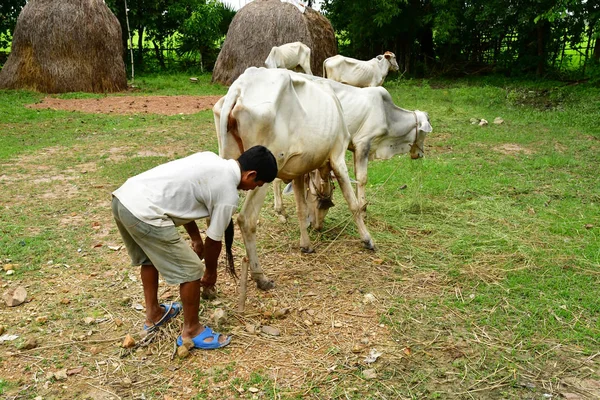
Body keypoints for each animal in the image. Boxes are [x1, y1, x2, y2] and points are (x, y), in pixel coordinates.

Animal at [213, 67, 372, 292]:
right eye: (327, 205)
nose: (318, 226)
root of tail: (239, 87)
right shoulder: (338, 156)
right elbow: (353, 203)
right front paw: (367, 239)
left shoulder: (298, 171)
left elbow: (301, 208)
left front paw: (306, 244)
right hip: (261, 174)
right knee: (246, 219)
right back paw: (260, 277)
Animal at [272, 78, 432, 228]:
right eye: (424, 133)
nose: (420, 154)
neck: (389, 116)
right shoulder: (363, 143)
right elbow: (362, 178)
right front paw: (363, 210)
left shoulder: (355, 149)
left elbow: (355, 178)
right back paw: (280, 213)